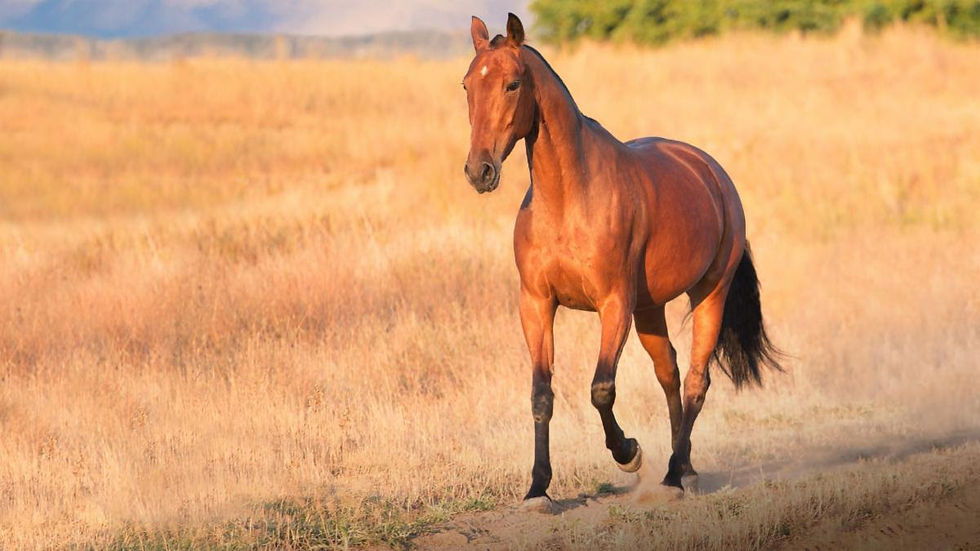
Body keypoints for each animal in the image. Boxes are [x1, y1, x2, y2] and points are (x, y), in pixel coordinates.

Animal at [462, 14, 783, 512]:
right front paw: (538, 489)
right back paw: (686, 467)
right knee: (670, 375)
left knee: (696, 381)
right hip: (650, 309)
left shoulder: (614, 306)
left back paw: (673, 477)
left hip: (709, 292)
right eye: (466, 86)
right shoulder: (536, 304)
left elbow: (601, 389)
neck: (569, 198)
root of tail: (712, 172)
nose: (480, 171)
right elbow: (541, 394)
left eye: (512, 84)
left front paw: (628, 453)